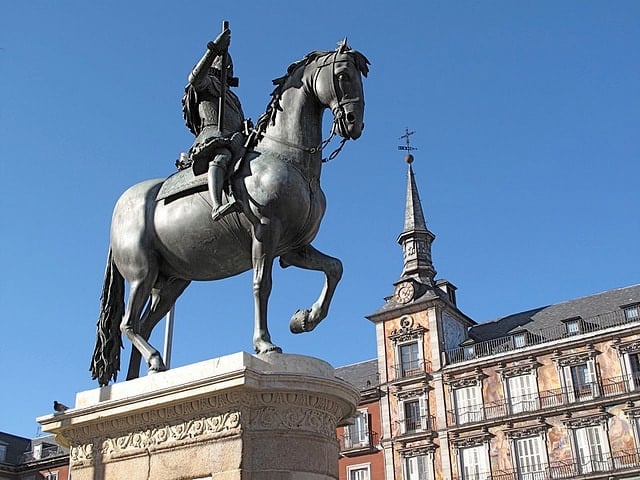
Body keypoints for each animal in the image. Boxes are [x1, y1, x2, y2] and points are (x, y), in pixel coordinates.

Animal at [90, 41, 370, 386]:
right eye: (343, 74)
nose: (354, 122)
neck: (286, 157)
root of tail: (123, 205)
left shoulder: (294, 248)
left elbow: (335, 269)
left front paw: (303, 319)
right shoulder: (265, 232)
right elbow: (262, 284)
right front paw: (265, 344)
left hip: (171, 282)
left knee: (143, 325)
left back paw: (140, 380)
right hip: (142, 273)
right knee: (127, 324)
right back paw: (153, 362)